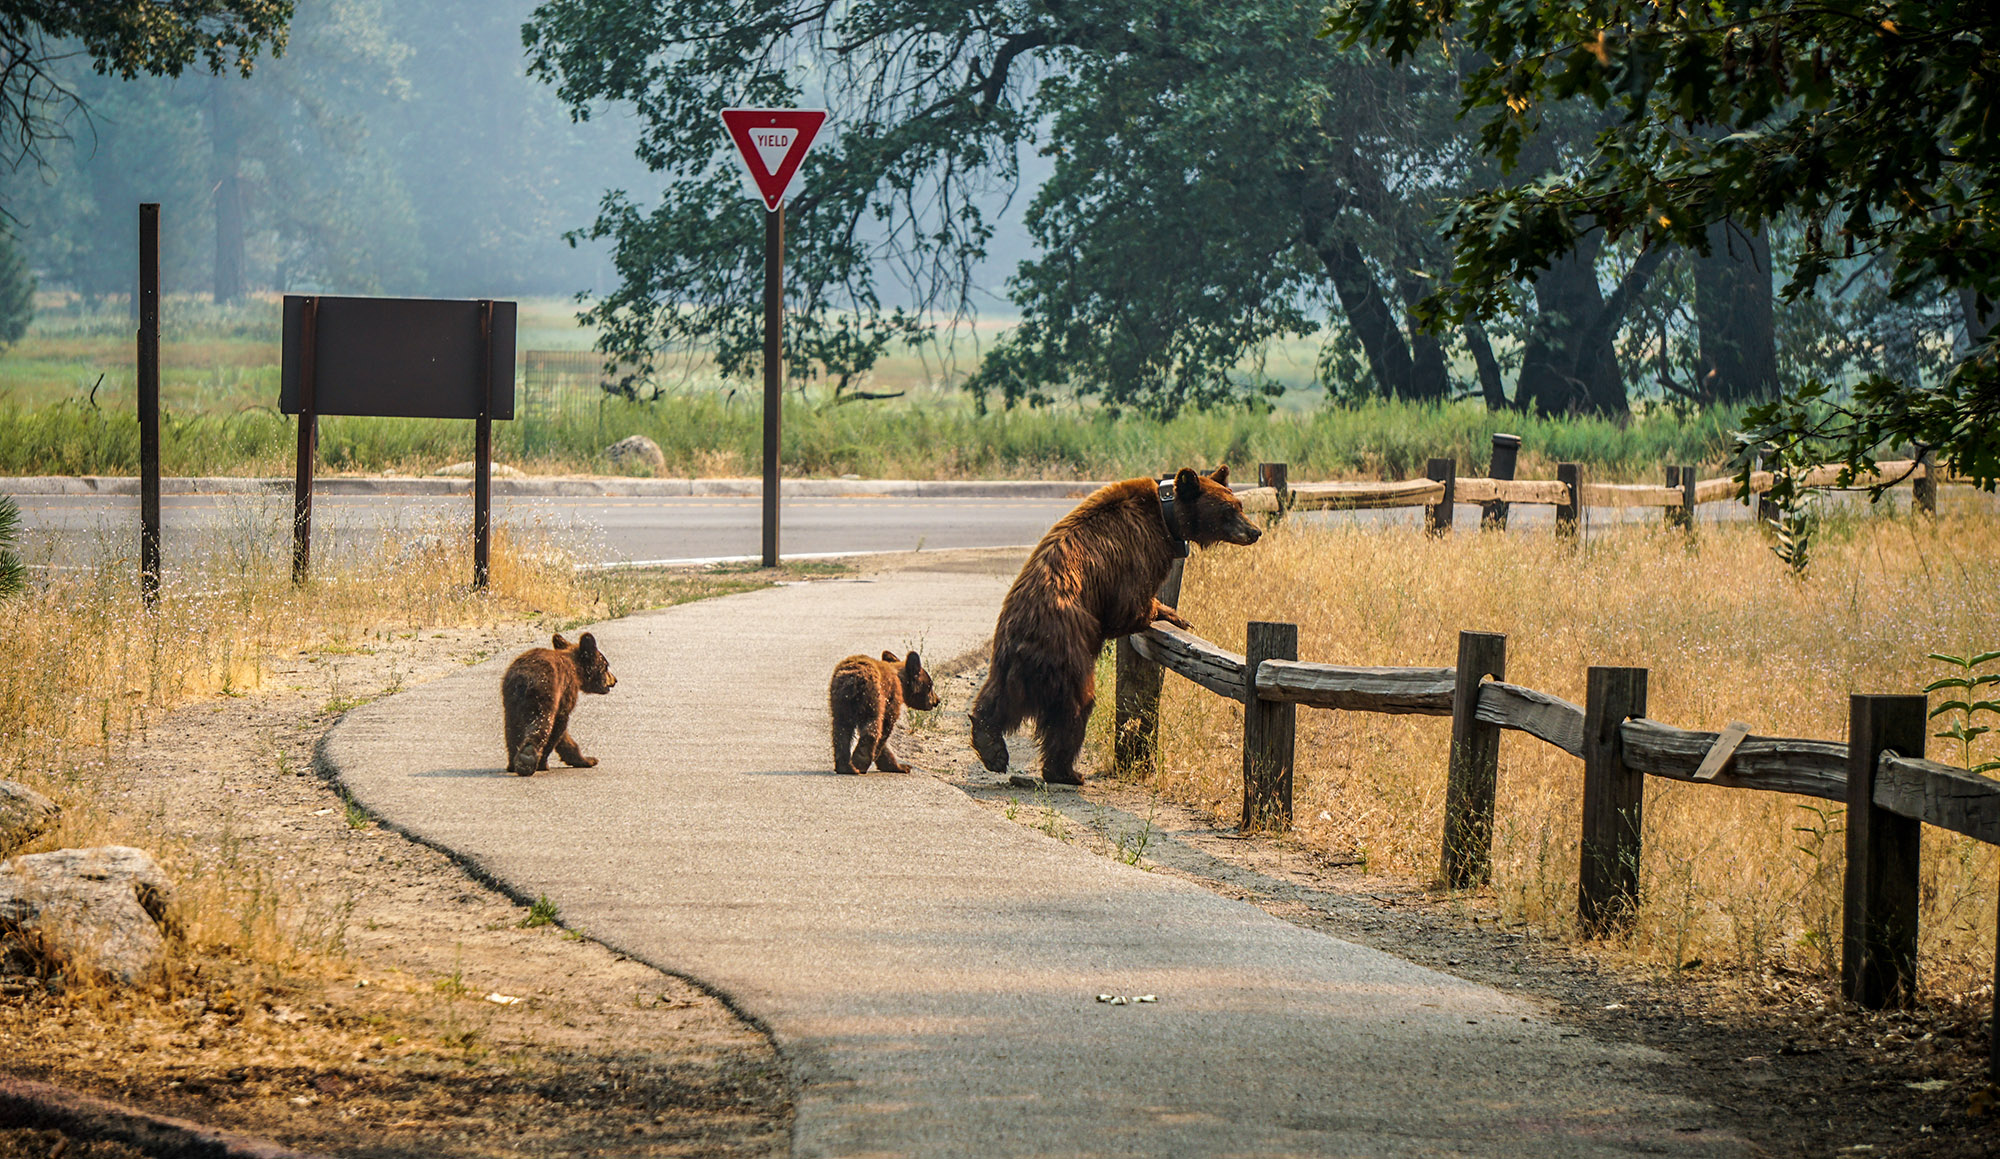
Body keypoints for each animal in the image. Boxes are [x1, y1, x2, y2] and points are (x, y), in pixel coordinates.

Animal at [502, 632, 617, 776]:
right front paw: (543, 763)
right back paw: (527, 759)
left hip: (511, 703)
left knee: (511, 729)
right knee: (542, 724)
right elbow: (559, 725)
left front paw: (587, 759)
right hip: (543, 696)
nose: (615, 680)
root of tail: (523, 678)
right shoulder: (565, 692)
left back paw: (512, 763)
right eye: (606, 666)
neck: (576, 670)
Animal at [969, 465, 1261, 785]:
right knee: (1075, 706)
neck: (1167, 519)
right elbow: (1130, 606)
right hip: (1069, 648)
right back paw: (1066, 771)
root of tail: (1024, 638)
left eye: (1239, 505)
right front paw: (1172, 614)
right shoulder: (1136, 554)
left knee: (996, 699)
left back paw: (990, 746)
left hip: (1008, 663)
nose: (1255, 531)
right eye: (1228, 508)